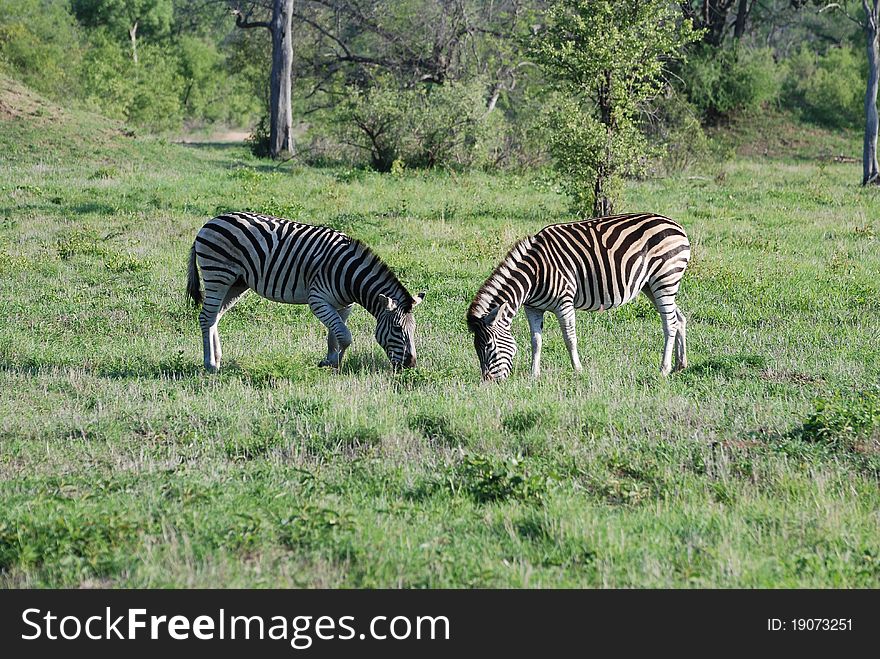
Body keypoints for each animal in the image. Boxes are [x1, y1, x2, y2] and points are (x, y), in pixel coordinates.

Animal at [186, 214, 426, 374]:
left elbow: (335, 334)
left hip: (236, 283)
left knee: (215, 317)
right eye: (397, 329)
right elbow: (345, 335)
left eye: (414, 329)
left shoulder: (343, 305)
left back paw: (218, 358)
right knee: (206, 317)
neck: (350, 276)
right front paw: (333, 363)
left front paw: (332, 361)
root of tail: (209, 223)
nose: (411, 364)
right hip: (218, 275)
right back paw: (210, 364)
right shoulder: (317, 300)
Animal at [468, 214, 688, 382]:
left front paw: (578, 370)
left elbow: (569, 339)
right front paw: (534, 374)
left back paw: (664, 369)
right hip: (651, 285)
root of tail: (677, 225)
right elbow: (536, 340)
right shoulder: (532, 308)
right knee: (679, 318)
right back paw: (680, 365)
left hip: (665, 279)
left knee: (669, 323)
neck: (534, 274)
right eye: (476, 348)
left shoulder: (564, 303)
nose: (488, 382)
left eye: (490, 347)